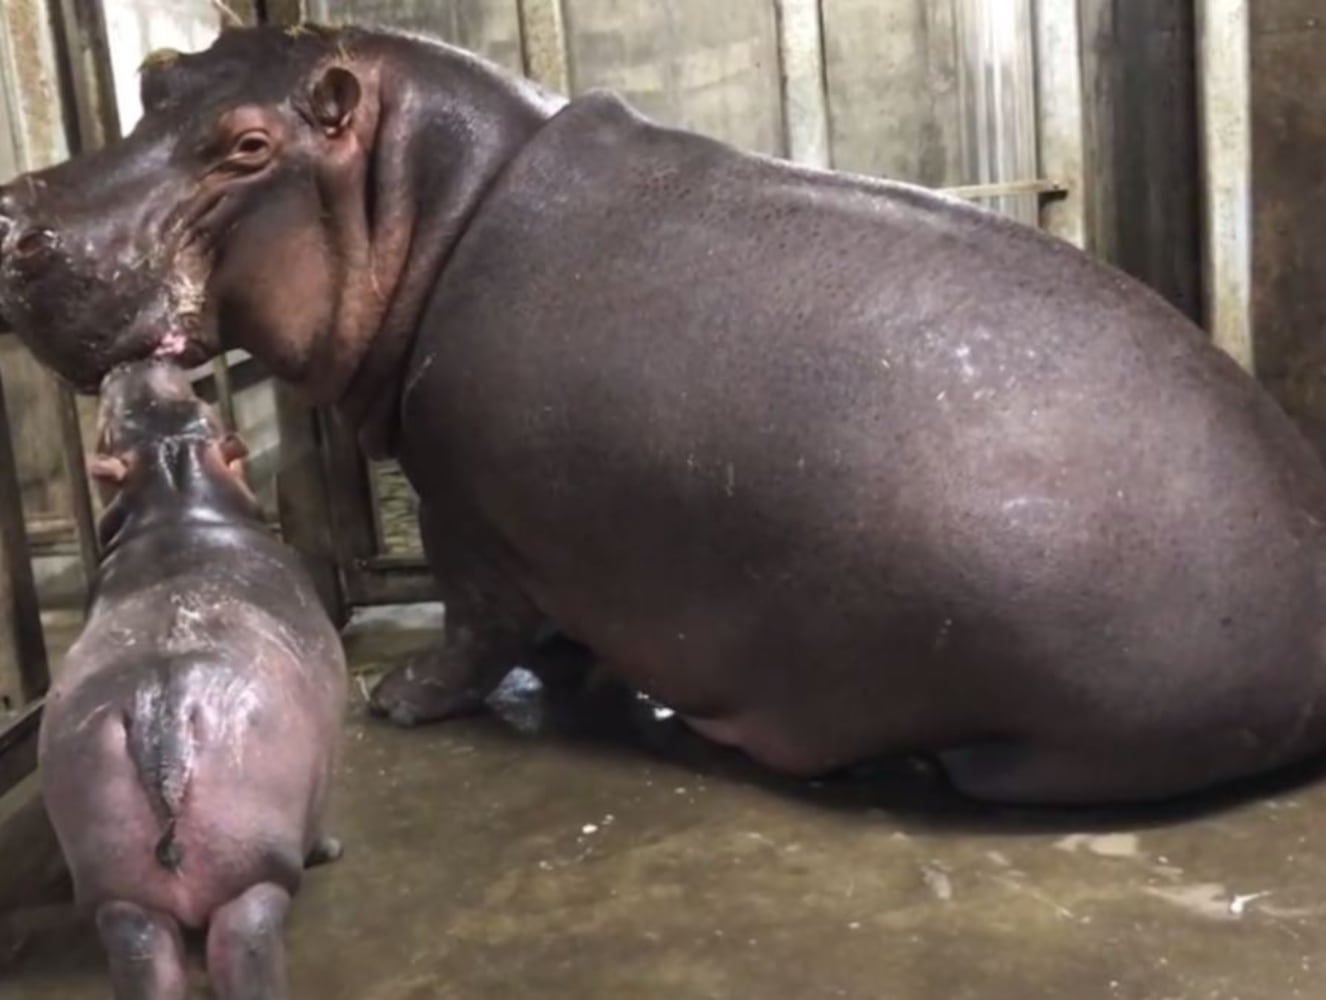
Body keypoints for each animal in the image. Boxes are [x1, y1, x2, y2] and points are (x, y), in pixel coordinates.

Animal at [2, 23, 1326, 801]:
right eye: (157, 78)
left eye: (246, 145)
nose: (20, 218)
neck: (427, 198)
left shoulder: (461, 500)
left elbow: (479, 624)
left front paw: (404, 697)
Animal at [40, 358, 350, 997]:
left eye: (196, 406)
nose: (137, 360)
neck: (178, 502)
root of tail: (163, 713)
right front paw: (330, 846)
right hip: (251, 876)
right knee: (247, 944)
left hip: (120, 892)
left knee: (141, 953)